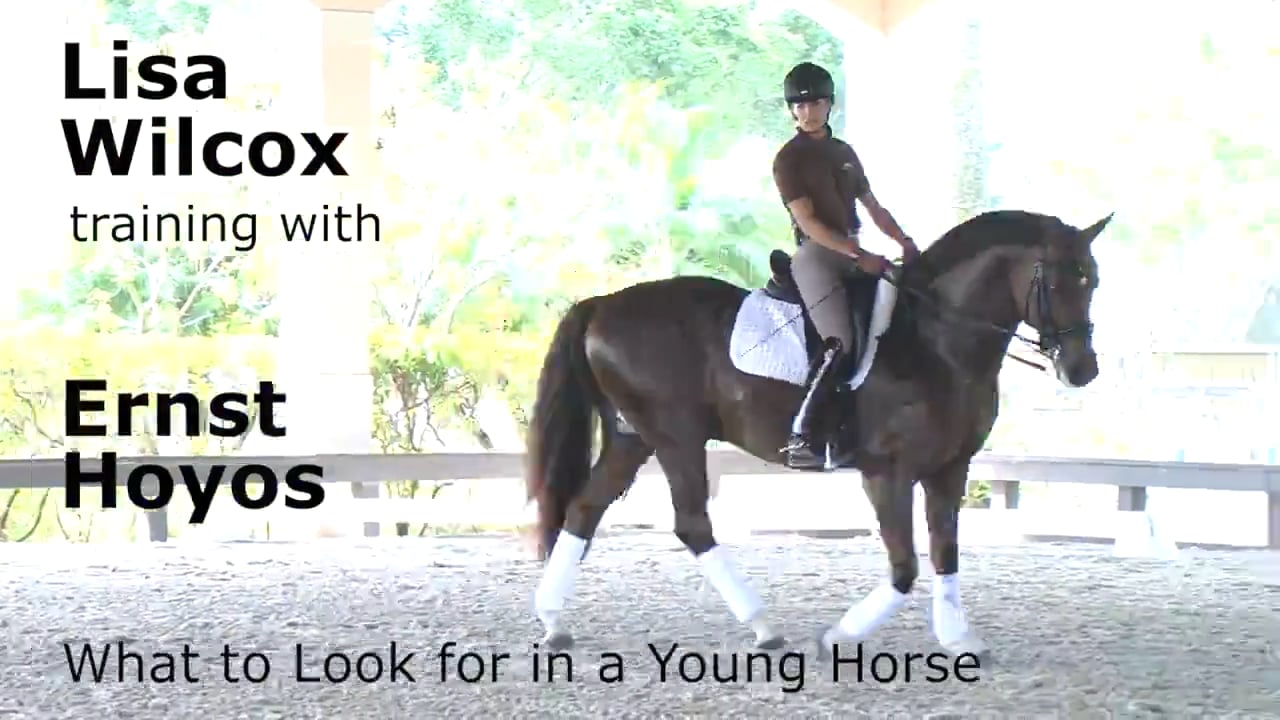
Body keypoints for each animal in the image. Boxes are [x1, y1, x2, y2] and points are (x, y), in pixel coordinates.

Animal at [521, 208, 1112, 659]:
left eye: (1093, 279)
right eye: (1058, 280)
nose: (1083, 370)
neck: (938, 341)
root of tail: (602, 304)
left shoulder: (950, 469)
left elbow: (946, 554)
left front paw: (957, 638)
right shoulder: (887, 472)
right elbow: (905, 567)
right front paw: (837, 636)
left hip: (632, 436)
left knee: (584, 509)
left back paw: (553, 621)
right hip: (675, 436)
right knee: (691, 524)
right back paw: (764, 627)